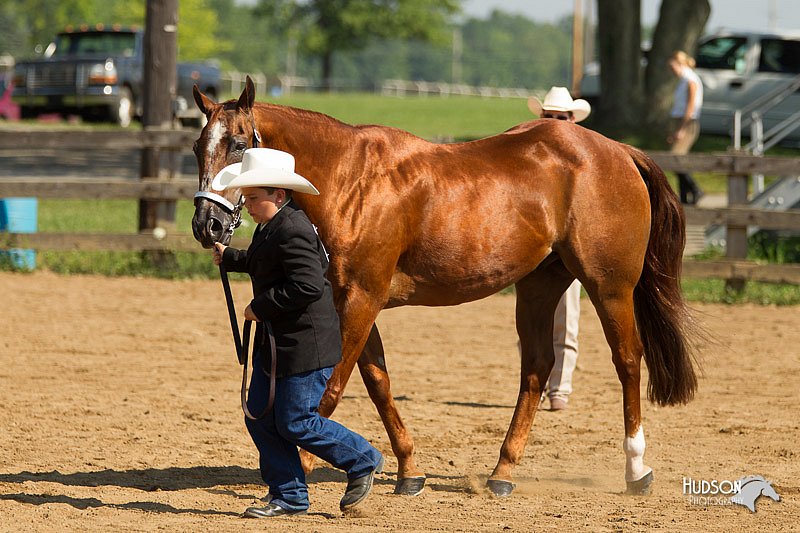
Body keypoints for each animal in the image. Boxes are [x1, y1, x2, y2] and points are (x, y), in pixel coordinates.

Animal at [191, 77, 696, 496]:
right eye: (198, 146)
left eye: (239, 145)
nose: (206, 224)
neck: (350, 183)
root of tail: (618, 151)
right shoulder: (351, 301)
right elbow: (378, 383)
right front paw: (409, 472)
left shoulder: (360, 299)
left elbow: (331, 392)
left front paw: (307, 463)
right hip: (540, 283)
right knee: (537, 367)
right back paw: (502, 473)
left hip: (610, 286)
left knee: (627, 360)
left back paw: (637, 470)